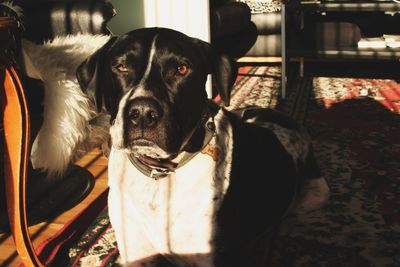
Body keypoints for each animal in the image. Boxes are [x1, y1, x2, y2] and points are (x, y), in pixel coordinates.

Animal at [76, 27, 332, 267]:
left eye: (182, 69)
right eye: (120, 67)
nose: (142, 114)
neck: (159, 174)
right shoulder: (137, 254)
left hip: (314, 196)